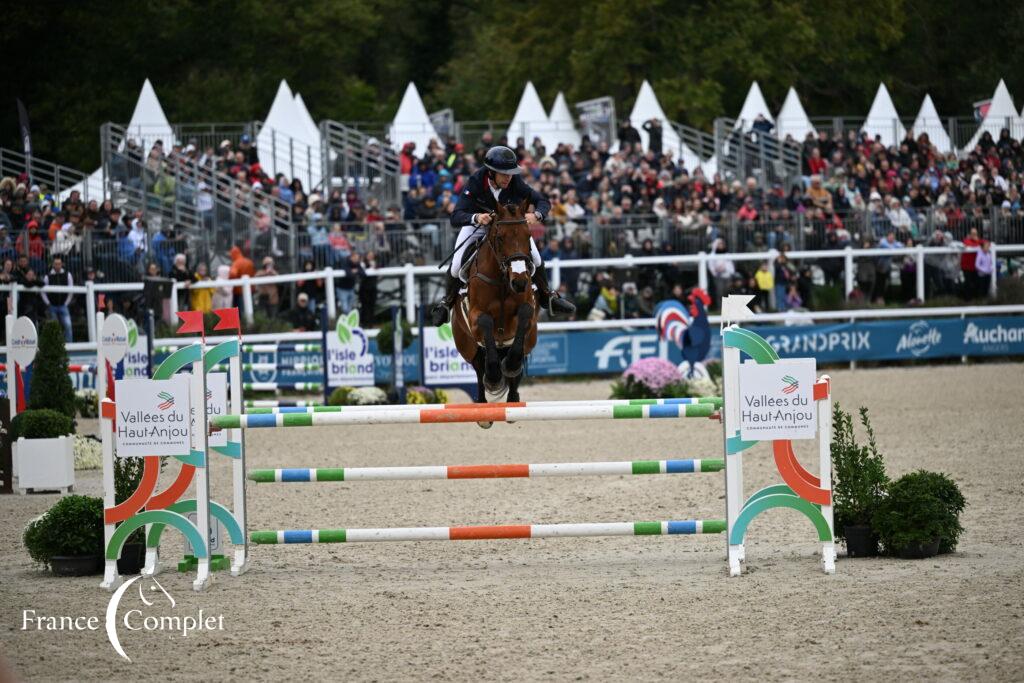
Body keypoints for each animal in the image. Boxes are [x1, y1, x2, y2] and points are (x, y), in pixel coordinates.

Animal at [452, 197, 540, 421]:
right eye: (500, 238)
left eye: (528, 236)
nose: (519, 282)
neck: (502, 281)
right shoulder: (475, 318)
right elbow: (485, 322)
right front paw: (493, 377)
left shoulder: (525, 314)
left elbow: (525, 313)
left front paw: (510, 366)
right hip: (466, 344)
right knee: (478, 365)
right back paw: (482, 407)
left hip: (529, 339)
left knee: (519, 358)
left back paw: (513, 398)